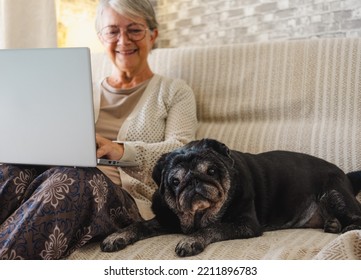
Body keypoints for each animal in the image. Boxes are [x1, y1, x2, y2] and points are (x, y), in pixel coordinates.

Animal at [100, 138, 360, 256]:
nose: (193, 181)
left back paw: (345, 228)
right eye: (175, 181)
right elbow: (138, 226)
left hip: (334, 194)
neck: (199, 216)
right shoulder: (165, 221)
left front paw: (191, 240)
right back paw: (332, 224)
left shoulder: (245, 224)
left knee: (355, 215)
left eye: (212, 171)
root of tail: (345, 175)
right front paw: (117, 236)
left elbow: (212, 228)